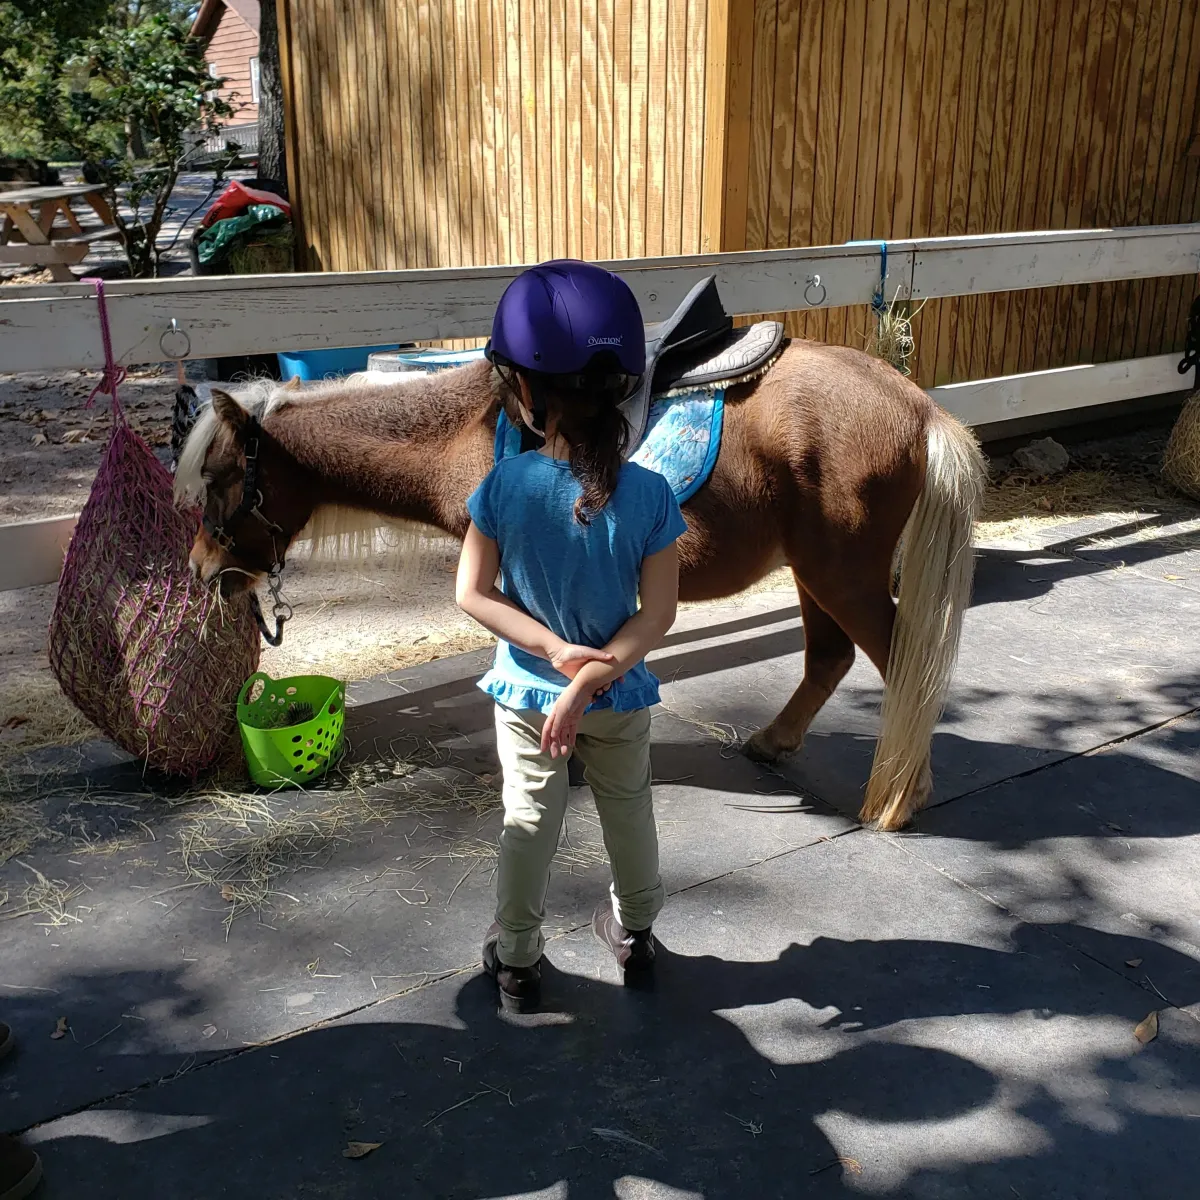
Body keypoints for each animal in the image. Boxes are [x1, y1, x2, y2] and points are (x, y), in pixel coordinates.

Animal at [175, 342, 986, 830]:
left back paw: (901, 796)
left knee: (904, 665)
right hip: (814, 573)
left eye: (218, 477)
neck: (466, 431)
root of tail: (918, 405)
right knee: (829, 659)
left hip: (841, 575)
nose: (201, 570)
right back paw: (774, 742)